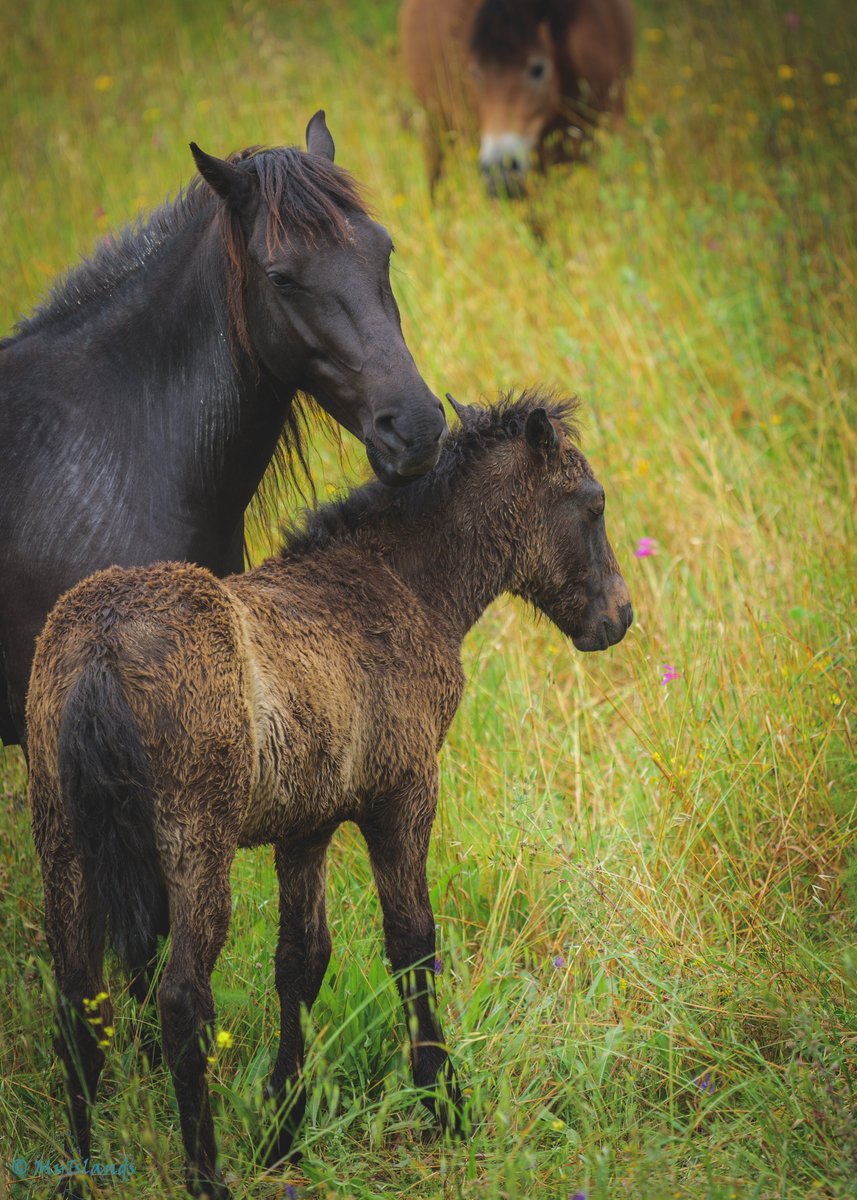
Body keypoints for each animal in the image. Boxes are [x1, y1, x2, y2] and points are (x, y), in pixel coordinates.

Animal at [28, 388, 628, 1195]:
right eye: (591, 504)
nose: (617, 618)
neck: (397, 586)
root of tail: (102, 643)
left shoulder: (304, 827)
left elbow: (301, 963)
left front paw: (283, 1129)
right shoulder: (402, 796)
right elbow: (411, 945)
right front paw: (445, 1105)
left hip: (64, 841)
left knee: (77, 1001)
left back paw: (78, 1173)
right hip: (195, 842)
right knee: (181, 999)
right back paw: (205, 1176)